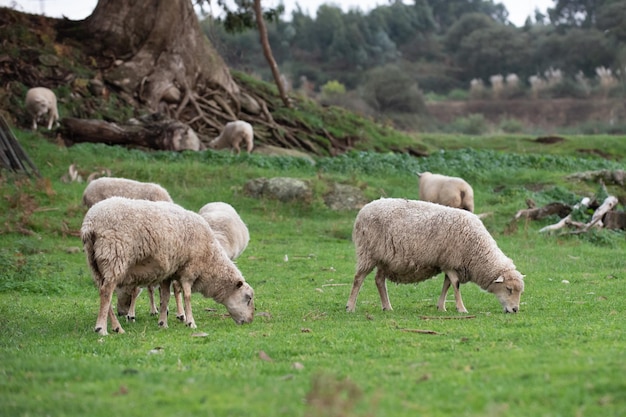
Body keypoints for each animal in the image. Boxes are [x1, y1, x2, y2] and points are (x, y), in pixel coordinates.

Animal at [81, 197, 255, 336]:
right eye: (248, 298)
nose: (250, 321)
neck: (210, 259)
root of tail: (90, 223)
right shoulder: (189, 270)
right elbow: (187, 296)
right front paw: (190, 322)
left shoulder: (169, 272)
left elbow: (165, 297)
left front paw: (163, 323)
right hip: (115, 255)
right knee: (106, 292)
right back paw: (101, 329)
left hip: (95, 263)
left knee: (104, 293)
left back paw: (117, 328)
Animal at [344, 197, 524, 312]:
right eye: (509, 289)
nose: (515, 310)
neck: (476, 249)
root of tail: (364, 209)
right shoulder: (451, 262)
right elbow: (455, 284)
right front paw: (461, 309)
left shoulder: (448, 263)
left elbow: (447, 284)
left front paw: (441, 307)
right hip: (368, 251)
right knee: (358, 278)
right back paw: (350, 307)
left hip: (385, 258)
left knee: (379, 281)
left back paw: (387, 307)